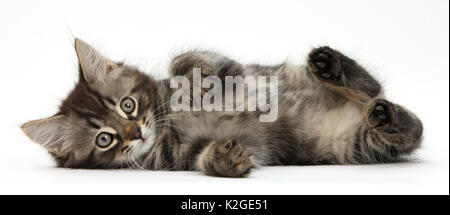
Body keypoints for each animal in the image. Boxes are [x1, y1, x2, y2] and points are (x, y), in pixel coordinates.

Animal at [21, 39, 422, 177]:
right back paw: (386, 117)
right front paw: (224, 159)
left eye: (128, 105)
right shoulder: (179, 156)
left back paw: (332, 65)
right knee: (408, 128)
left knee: (373, 87)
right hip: (354, 143)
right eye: (104, 139)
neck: (165, 122)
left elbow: (185, 60)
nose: (135, 133)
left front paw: (197, 81)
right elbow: (205, 157)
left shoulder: (224, 63)